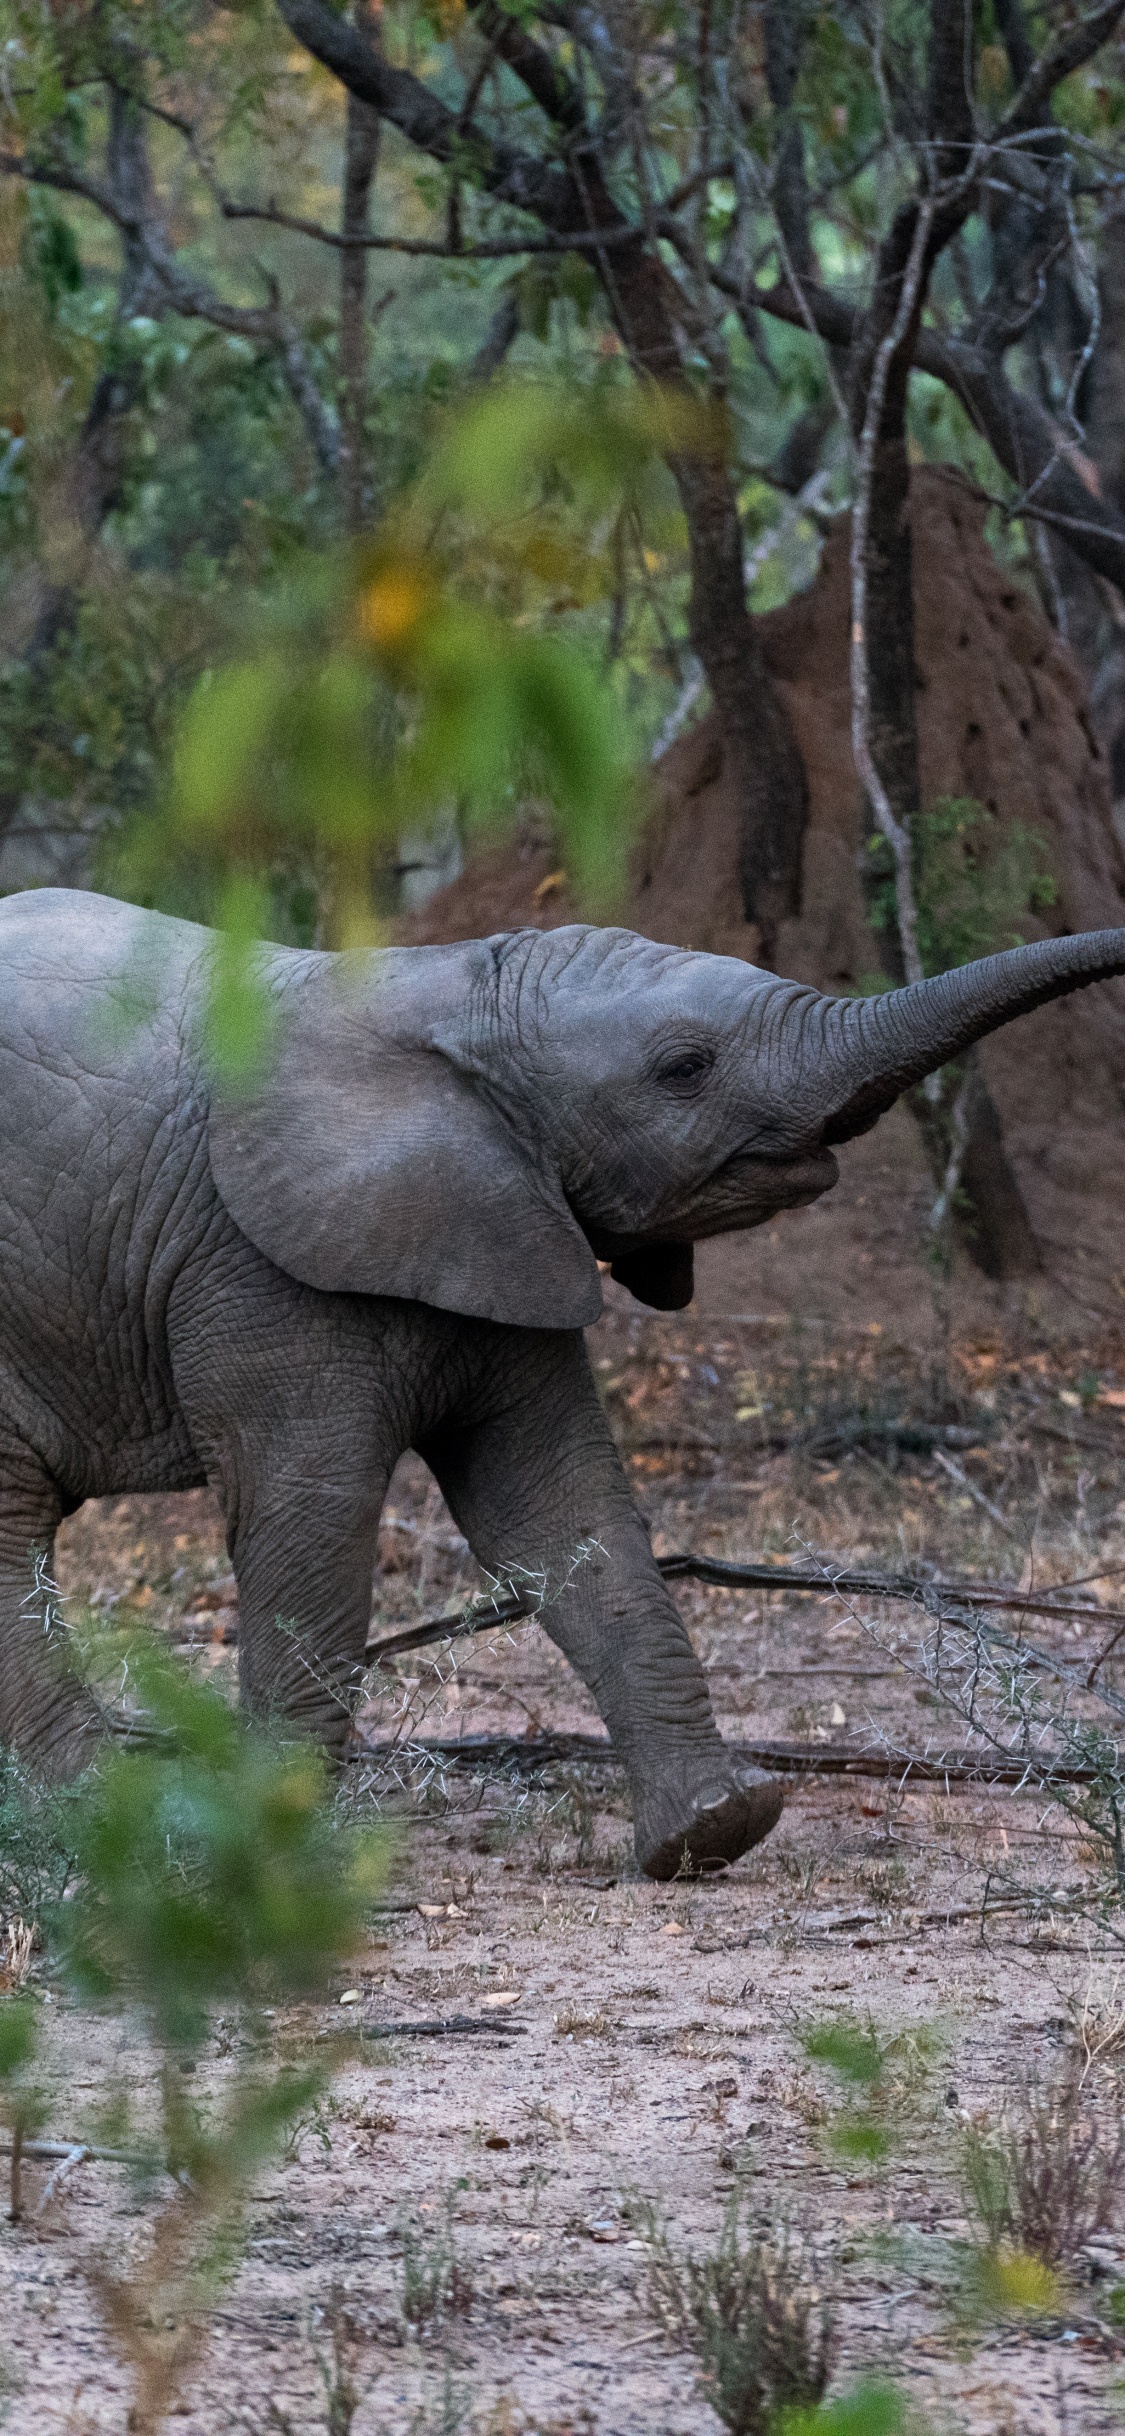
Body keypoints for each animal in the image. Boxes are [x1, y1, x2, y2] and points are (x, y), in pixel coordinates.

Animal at [1, 886, 1124, 1878]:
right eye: (684, 1068)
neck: (452, 991)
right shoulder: (253, 1268)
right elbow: (312, 1523)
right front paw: (263, 1862)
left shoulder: (509, 1223)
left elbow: (559, 1509)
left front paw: (712, 1834)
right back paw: (112, 1837)